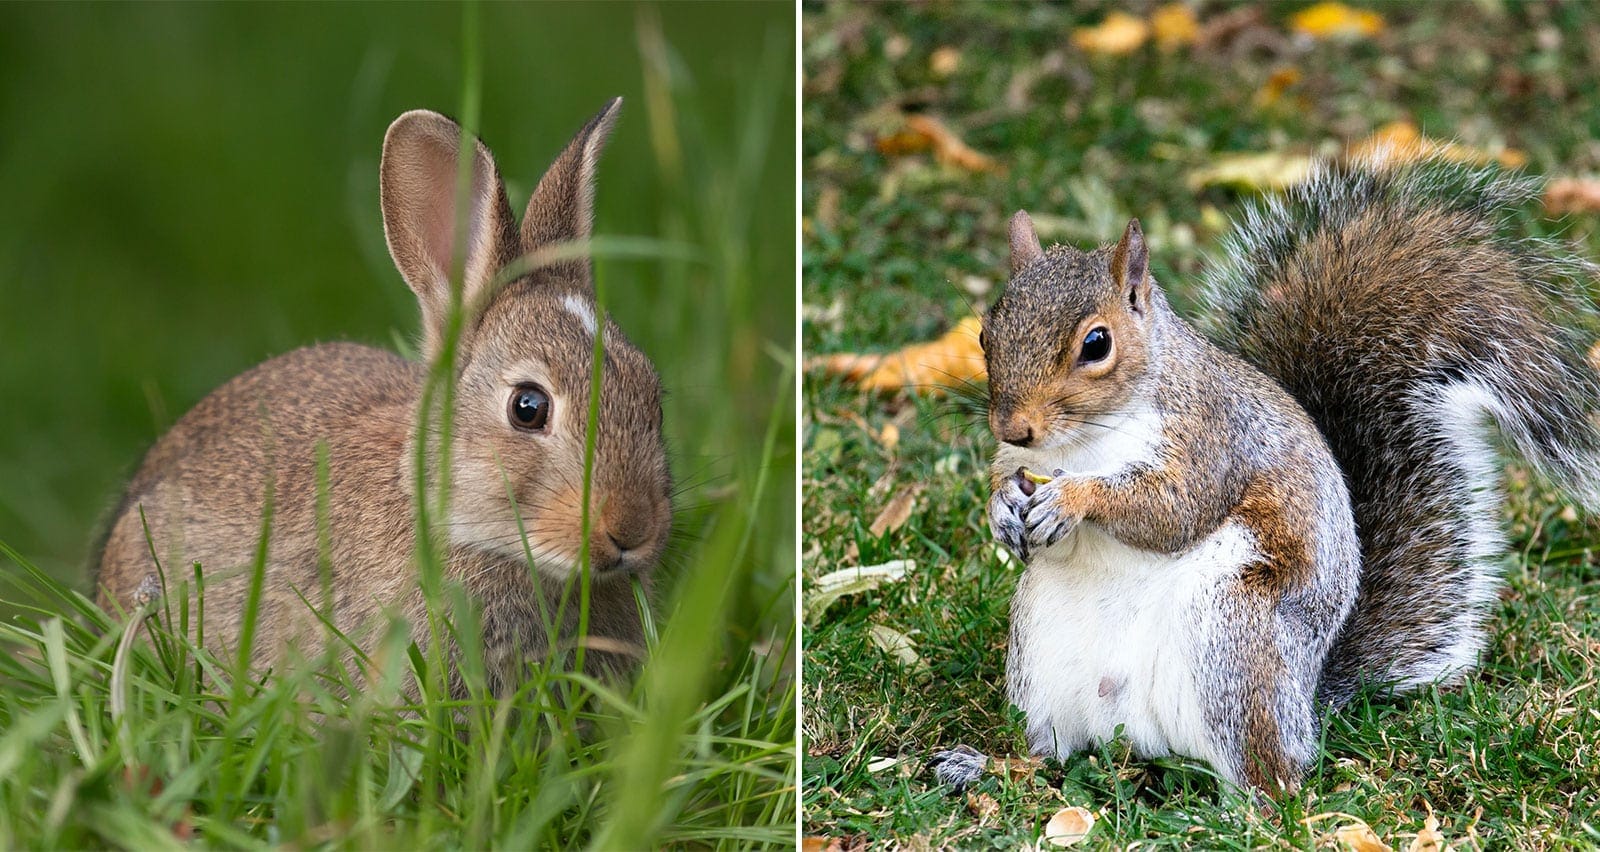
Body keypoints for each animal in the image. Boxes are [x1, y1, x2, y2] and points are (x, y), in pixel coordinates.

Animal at [972, 156, 1600, 794]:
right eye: (984, 333)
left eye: (1097, 344)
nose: (1013, 427)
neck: (1080, 444)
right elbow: (1008, 478)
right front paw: (1001, 508)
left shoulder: (1212, 441)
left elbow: (1172, 510)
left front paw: (1073, 499)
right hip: (1041, 655)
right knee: (1054, 749)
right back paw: (993, 764)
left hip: (1234, 640)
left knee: (1271, 772)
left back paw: (1251, 801)